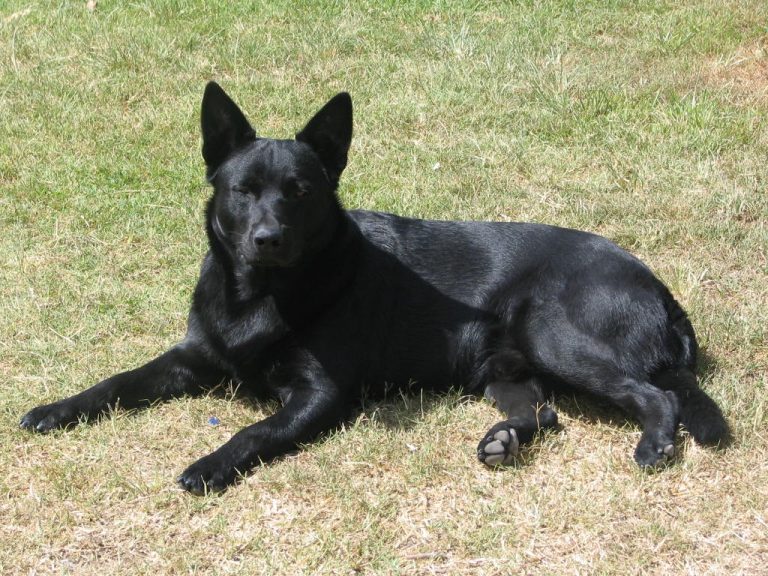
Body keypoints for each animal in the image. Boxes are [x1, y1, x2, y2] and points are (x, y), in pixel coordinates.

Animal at [19, 83, 728, 492]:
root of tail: (662, 291)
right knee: (543, 412)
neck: (262, 295)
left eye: (301, 192)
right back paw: (504, 440)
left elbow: (255, 432)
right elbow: (117, 381)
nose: (267, 239)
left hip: (552, 333)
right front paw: (57, 409)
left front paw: (211, 463)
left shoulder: (320, 395)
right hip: (503, 371)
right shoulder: (191, 358)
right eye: (243, 191)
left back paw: (654, 443)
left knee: (657, 395)